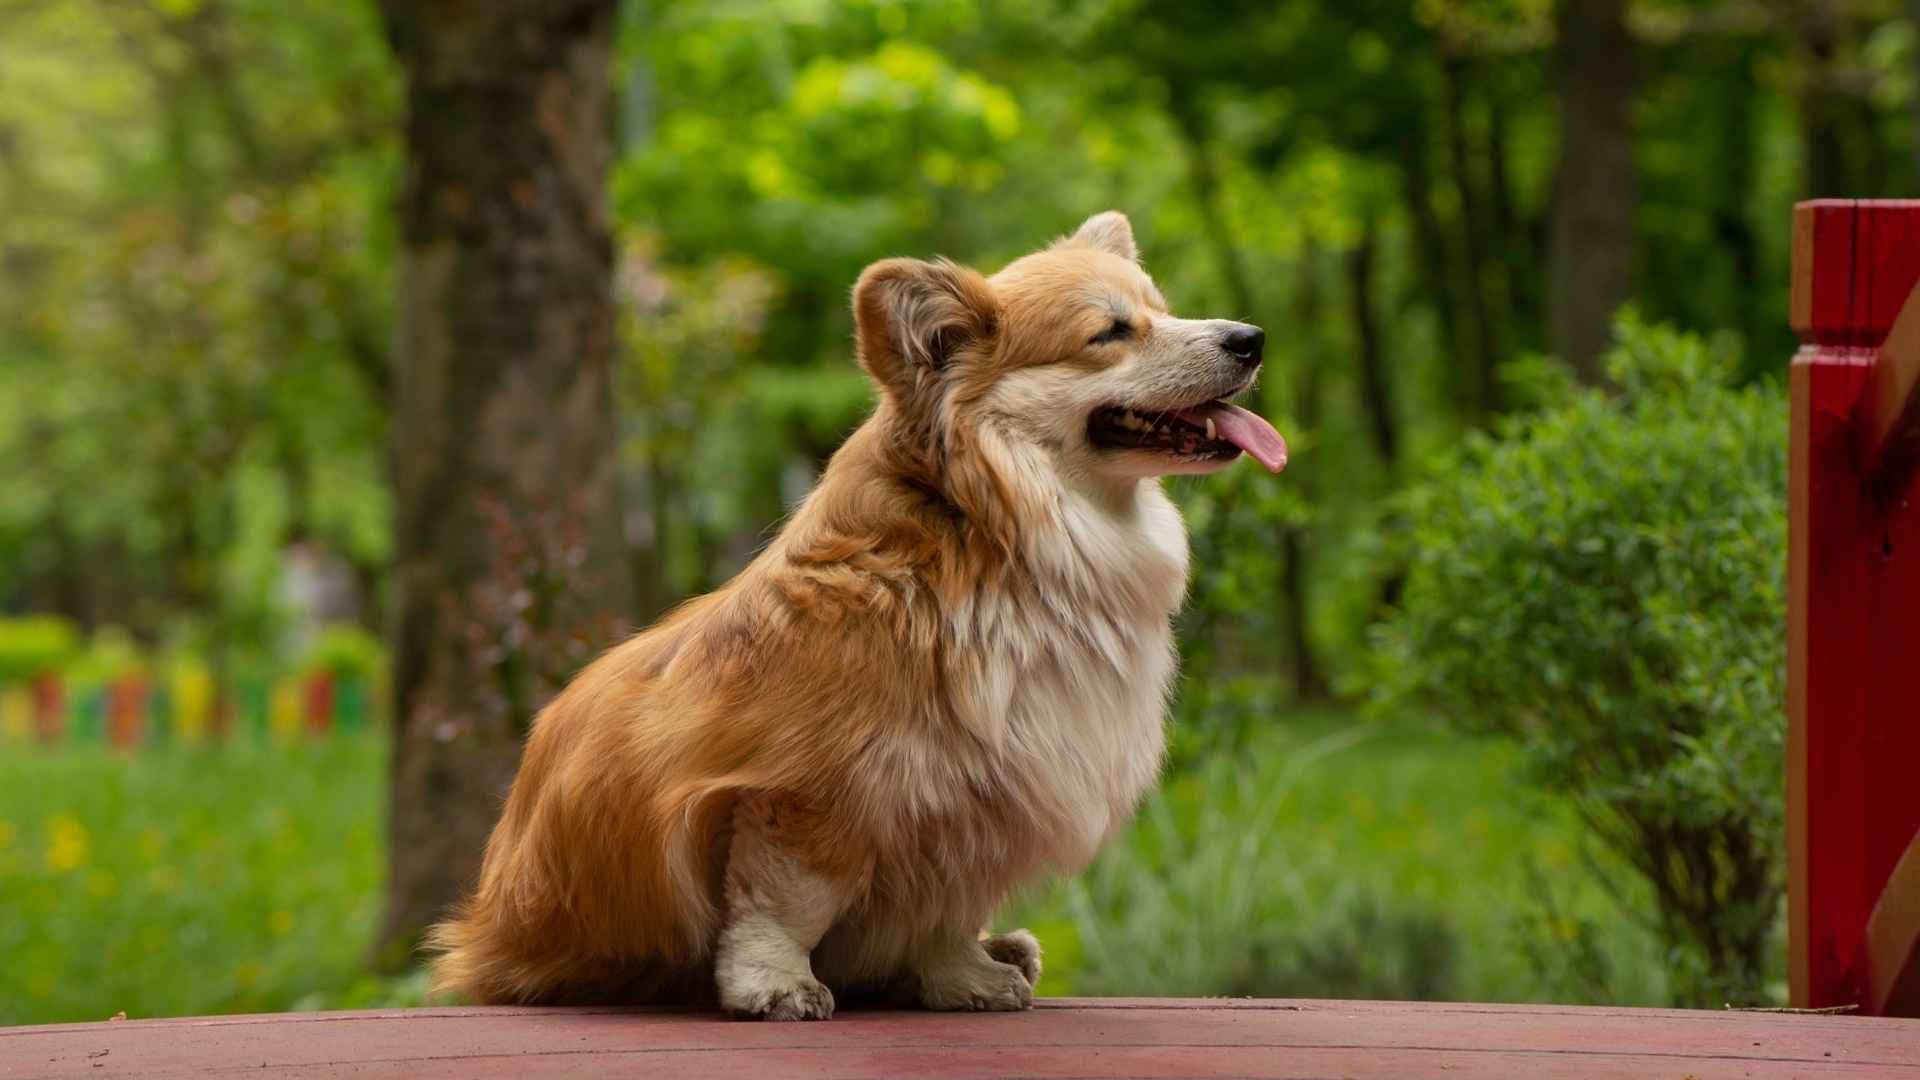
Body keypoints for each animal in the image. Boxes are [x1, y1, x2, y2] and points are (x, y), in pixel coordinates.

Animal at [424, 212, 1290, 1014]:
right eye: (1110, 332)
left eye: (1163, 311)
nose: (1251, 339)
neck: (990, 530)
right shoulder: (811, 792)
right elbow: (786, 904)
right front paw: (774, 986)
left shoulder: (972, 808)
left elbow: (947, 915)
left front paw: (966, 977)